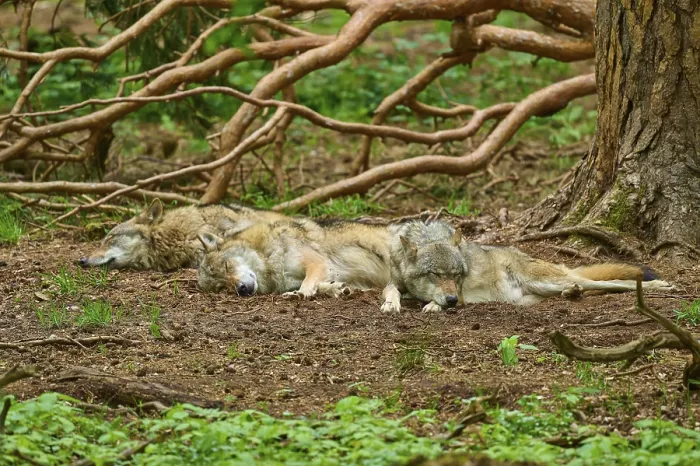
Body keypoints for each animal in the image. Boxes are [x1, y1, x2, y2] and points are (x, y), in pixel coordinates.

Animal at [196, 219, 392, 298]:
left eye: (227, 266)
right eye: (222, 287)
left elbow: (307, 283)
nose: (241, 289)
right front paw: (336, 288)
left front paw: (301, 294)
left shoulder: (318, 264)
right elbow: (320, 285)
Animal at [381, 220, 674, 313]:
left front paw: (433, 305)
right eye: (434, 274)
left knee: (612, 283)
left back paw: (659, 286)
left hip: (545, 280)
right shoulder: (394, 280)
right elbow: (389, 289)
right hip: (529, 297)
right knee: (585, 288)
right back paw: (572, 293)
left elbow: (434, 301)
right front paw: (390, 304)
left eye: (457, 275)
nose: (452, 300)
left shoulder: (460, 294)